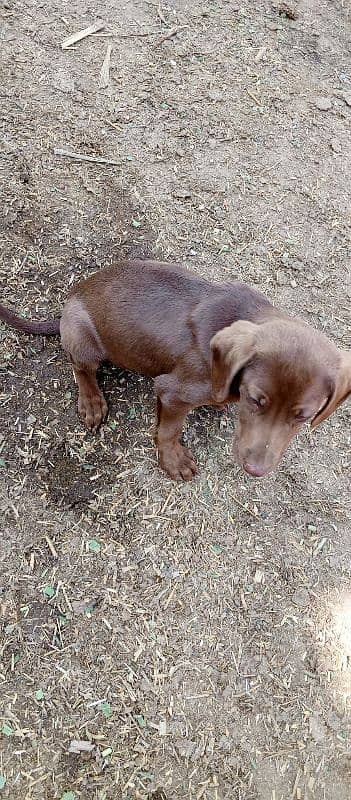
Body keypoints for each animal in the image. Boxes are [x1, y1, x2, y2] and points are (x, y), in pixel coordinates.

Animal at [0, 260, 351, 478]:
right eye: (255, 400)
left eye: (302, 417)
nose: (255, 471)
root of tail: (69, 300)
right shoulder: (172, 391)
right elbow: (170, 429)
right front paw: (173, 461)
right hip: (83, 338)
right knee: (80, 368)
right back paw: (91, 401)